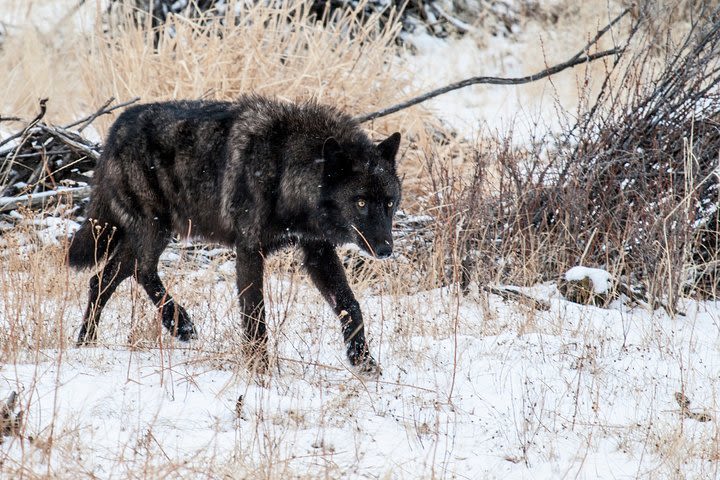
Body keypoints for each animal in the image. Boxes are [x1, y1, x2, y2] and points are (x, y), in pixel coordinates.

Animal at [68, 94, 402, 372]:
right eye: (360, 202)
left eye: (389, 202)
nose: (386, 249)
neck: (285, 168)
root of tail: (116, 127)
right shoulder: (249, 249)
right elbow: (255, 315)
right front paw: (260, 370)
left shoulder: (317, 251)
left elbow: (351, 305)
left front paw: (363, 360)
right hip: (156, 229)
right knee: (137, 270)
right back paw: (175, 325)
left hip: (151, 234)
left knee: (105, 278)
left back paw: (91, 341)